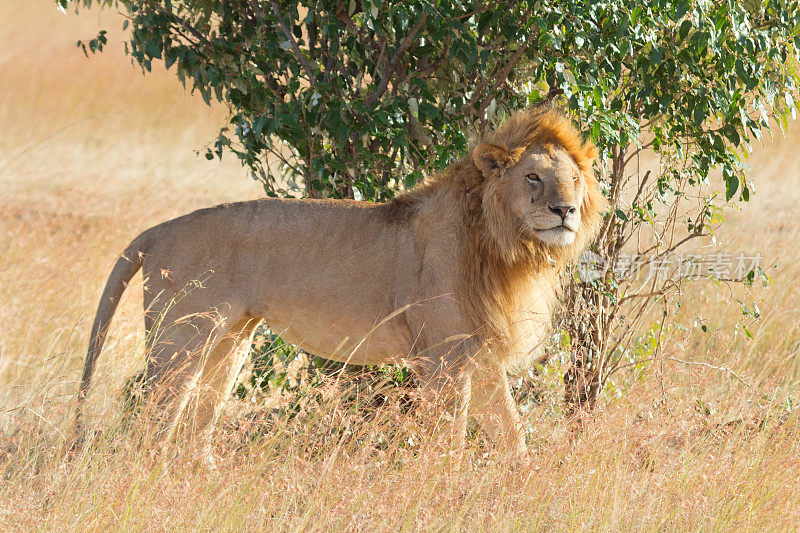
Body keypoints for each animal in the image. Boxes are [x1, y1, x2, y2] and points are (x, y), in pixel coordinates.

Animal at [76, 107, 608, 454]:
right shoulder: (443, 357)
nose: (565, 210)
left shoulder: (477, 353)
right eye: (533, 178)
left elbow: (512, 432)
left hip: (228, 342)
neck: (503, 245)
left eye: (575, 179)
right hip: (179, 342)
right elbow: (450, 435)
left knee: (195, 428)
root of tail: (160, 229)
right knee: (151, 420)